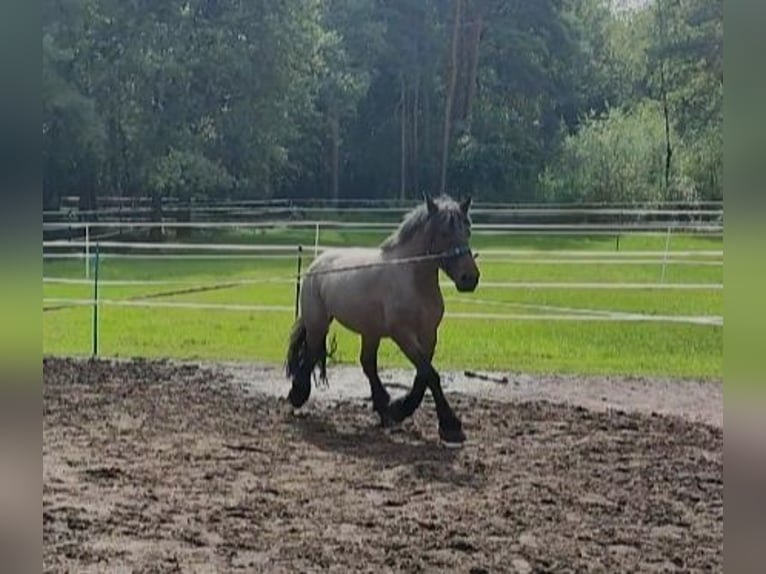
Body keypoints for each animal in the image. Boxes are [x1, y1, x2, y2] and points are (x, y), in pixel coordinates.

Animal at [286, 196, 480, 448]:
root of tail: (317, 263)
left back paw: (384, 409)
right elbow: (430, 375)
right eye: (444, 233)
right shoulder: (403, 334)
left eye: (468, 231)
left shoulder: (429, 335)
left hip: (370, 331)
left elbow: (423, 375)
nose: (470, 278)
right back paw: (298, 395)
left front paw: (400, 409)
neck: (414, 280)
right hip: (318, 322)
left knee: (367, 363)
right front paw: (450, 426)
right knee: (310, 354)